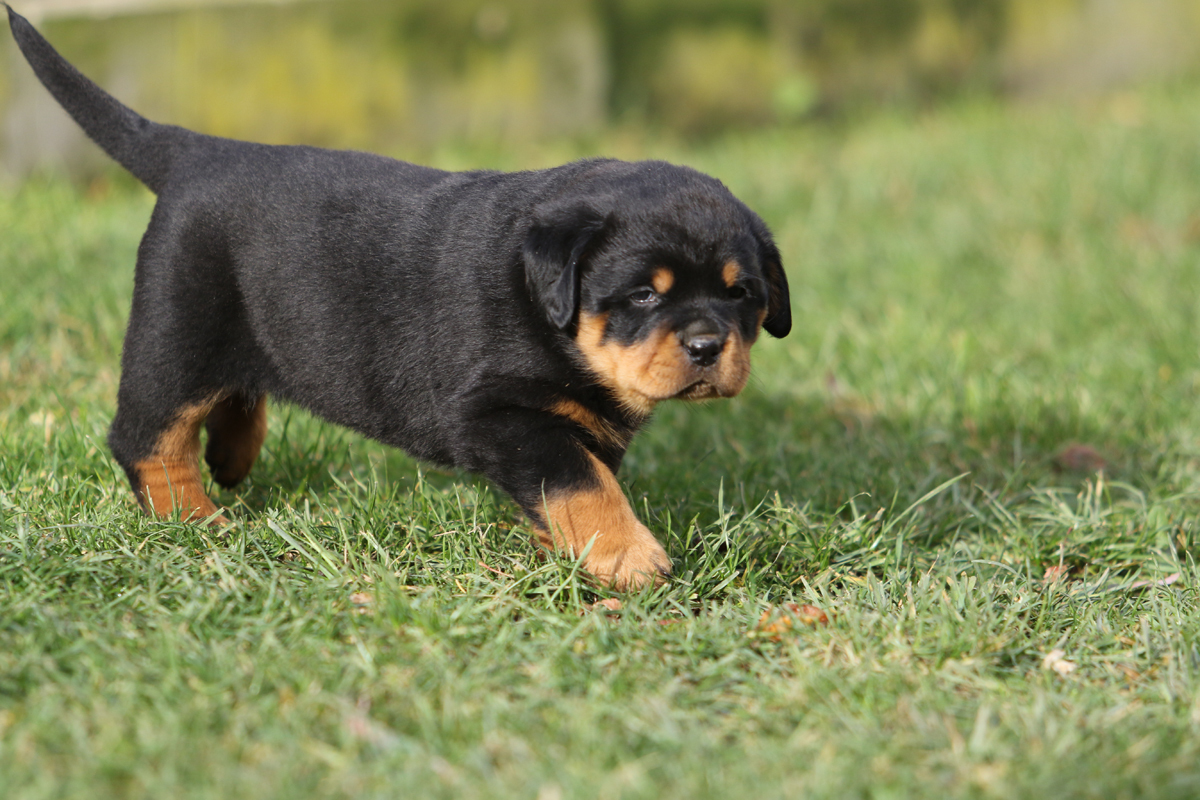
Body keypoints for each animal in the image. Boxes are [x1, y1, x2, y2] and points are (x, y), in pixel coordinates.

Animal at [7, 6, 790, 589]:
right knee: (149, 434)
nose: (706, 345)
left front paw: (562, 550)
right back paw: (192, 521)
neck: (550, 316)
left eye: (741, 294)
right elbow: (582, 483)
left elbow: (570, 484)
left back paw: (231, 456)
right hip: (179, 327)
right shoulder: (500, 413)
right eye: (641, 297)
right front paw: (629, 557)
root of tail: (196, 150)